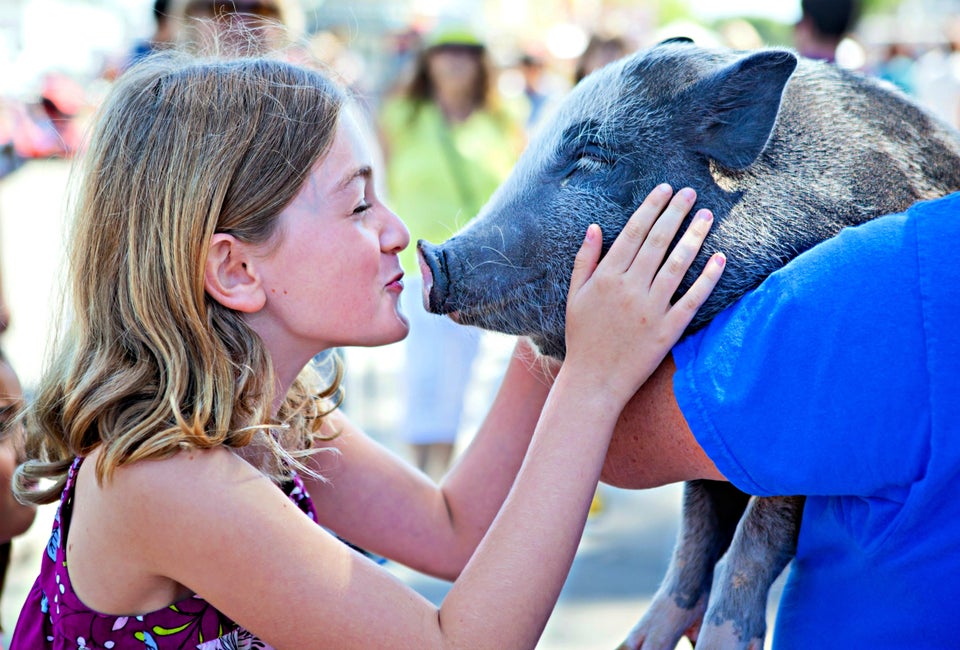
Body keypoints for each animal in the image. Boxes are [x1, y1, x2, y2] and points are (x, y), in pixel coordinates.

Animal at [417, 38, 960, 649]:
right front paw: (639, 643)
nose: (429, 255)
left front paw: (724, 641)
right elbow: (697, 524)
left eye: (591, 159)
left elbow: (762, 522)